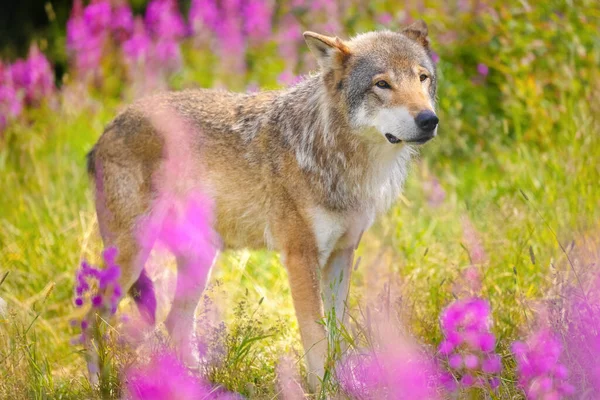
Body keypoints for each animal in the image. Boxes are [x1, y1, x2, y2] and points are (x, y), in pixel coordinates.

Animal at [85, 20, 436, 390]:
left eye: (422, 78)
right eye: (382, 84)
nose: (429, 119)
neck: (338, 156)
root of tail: (106, 130)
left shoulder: (342, 254)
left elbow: (338, 331)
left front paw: (347, 384)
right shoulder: (300, 256)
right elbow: (315, 335)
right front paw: (323, 389)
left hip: (199, 257)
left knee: (174, 321)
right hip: (132, 257)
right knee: (90, 319)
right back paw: (99, 387)